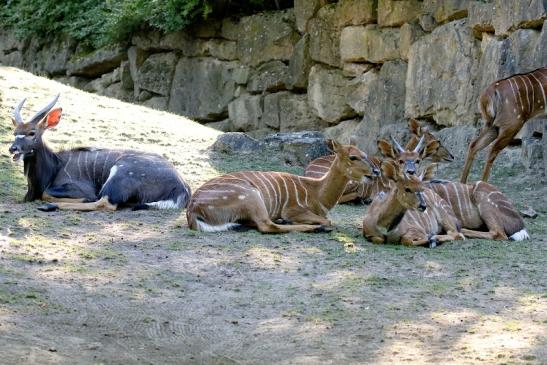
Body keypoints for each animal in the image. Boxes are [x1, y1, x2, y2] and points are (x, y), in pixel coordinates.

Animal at [7, 94, 193, 210]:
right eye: (15, 132)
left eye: (32, 133)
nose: (12, 148)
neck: (55, 166)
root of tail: (182, 188)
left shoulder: (81, 188)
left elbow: (47, 193)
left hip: (119, 173)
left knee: (105, 203)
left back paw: (51, 206)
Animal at [188, 141, 376, 232]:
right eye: (353, 157)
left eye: (364, 154)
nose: (375, 171)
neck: (316, 193)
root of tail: (192, 209)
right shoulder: (292, 209)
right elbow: (328, 220)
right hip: (251, 195)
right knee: (266, 226)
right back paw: (315, 228)